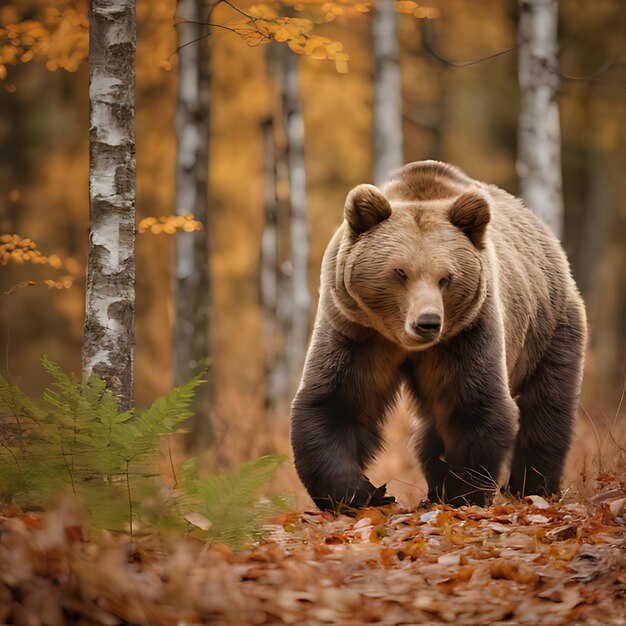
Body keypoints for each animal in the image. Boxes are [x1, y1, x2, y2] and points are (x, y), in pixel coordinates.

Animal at [292, 160, 584, 508]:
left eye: (446, 278)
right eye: (400, 272)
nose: (428, 322)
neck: (403, 342)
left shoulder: (468, 332)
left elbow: (473, 404)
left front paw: (462, 492)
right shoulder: (356, 329)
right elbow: (338, 401)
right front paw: (361, 493)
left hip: (549, 325)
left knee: (546, 405)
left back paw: (533, 486)